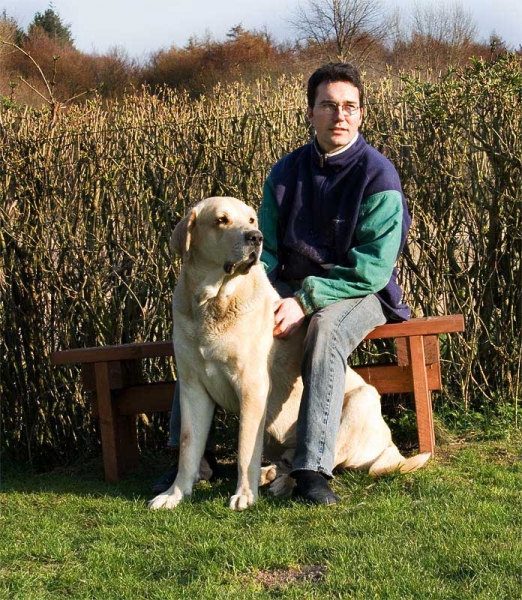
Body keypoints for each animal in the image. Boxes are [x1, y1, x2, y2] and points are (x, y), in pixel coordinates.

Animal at [148, 197, 428, 510]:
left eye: (251, 220)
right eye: (221, 220)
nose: (255, 237)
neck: (212, 302)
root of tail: (391, 447)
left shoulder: (252, 387)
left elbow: (245, 445)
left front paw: (244, 495)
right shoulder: (192, 387)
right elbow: (188, 446)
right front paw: (174, 494)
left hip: (362, 399)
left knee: (324, 458)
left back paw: (287, 482)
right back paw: (270, 473)